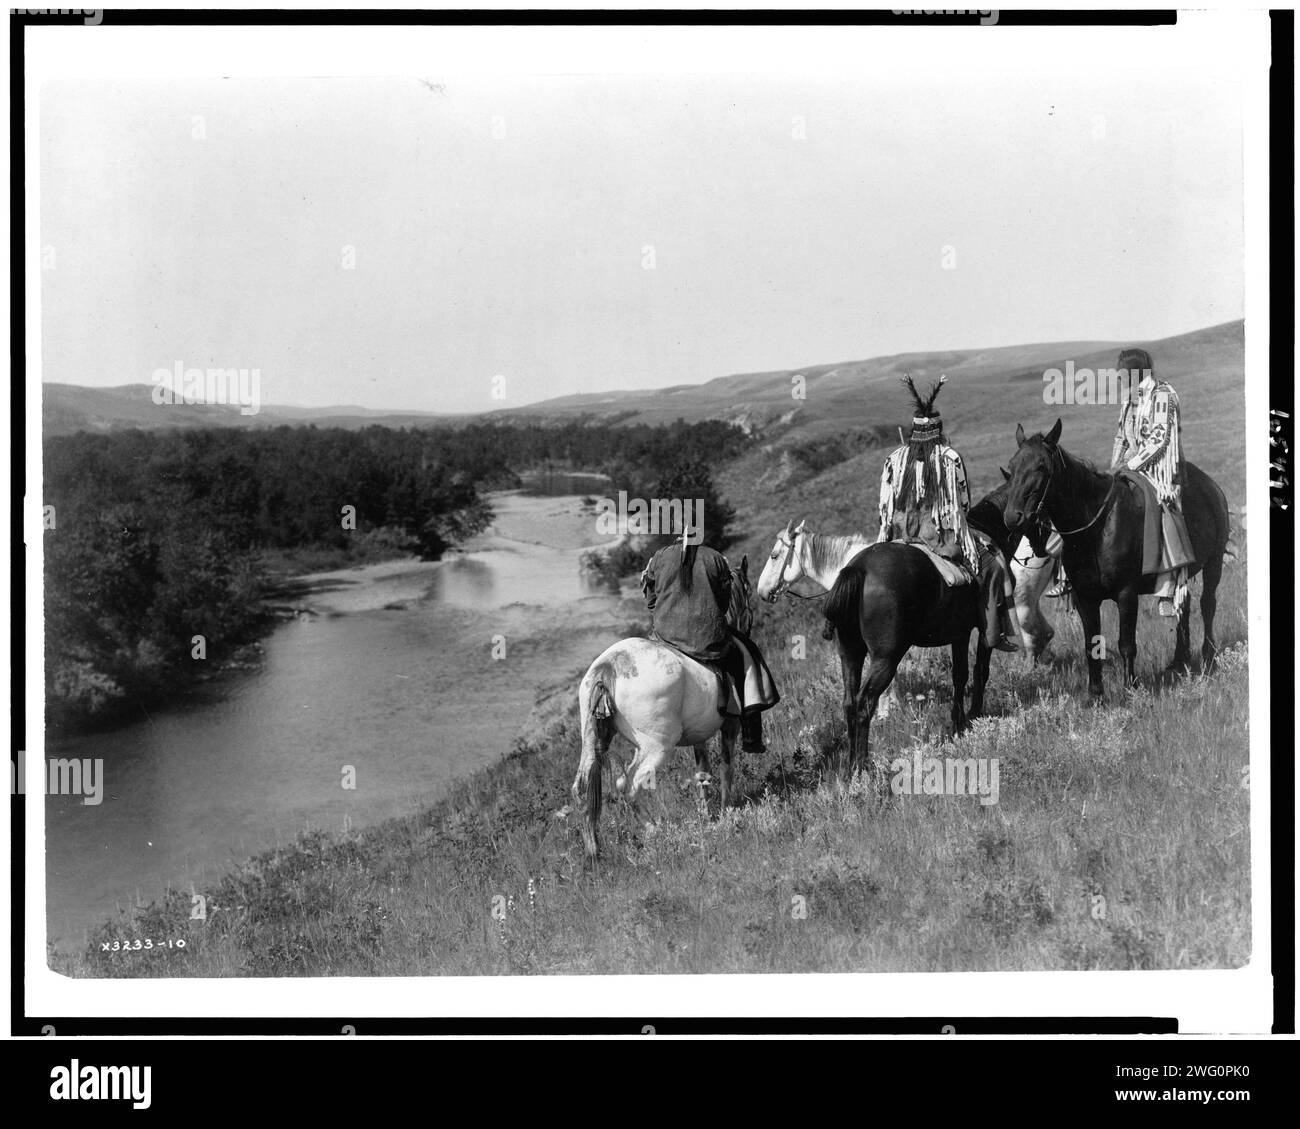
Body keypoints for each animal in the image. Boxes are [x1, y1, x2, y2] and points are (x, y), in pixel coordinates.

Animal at [993, 418, 1227, 691]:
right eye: (1012, 466)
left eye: (1041, 466)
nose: (1012, 517)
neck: (1096, 530)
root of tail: (1210, 486)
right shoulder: (1085, 598)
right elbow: (1091, 646)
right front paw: (1095, 693)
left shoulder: (1126, 594)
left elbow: (1126, 644)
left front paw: (1131, 688)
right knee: (1184, 607)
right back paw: (1180, 661)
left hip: (1214, 564)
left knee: (1207, 604)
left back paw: (1208, 654)